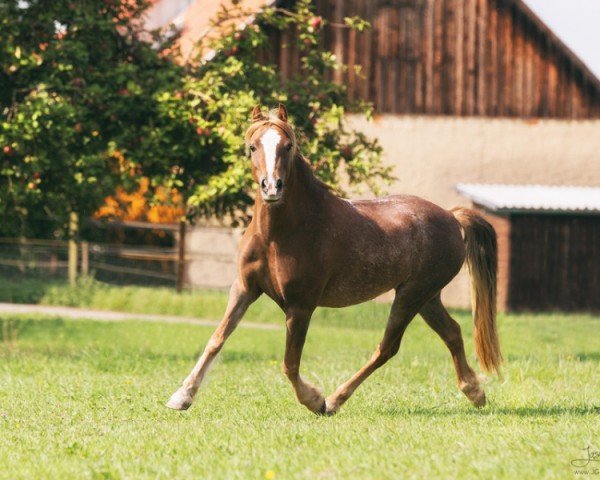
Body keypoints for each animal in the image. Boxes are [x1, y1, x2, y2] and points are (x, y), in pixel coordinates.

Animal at [165, 106, 502, 416]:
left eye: (288, 146)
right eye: (252, 147)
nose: (272, 187)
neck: (281, 234)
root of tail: (451, 216)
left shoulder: (300, 305)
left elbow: (289, 363)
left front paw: (314, 400)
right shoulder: (245, 289)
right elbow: (217, 339)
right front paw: (181, 397)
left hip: (411, 295)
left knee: (387, 348)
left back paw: (335, 399)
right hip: (426, 297)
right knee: (452, 332)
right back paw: (474, 392)